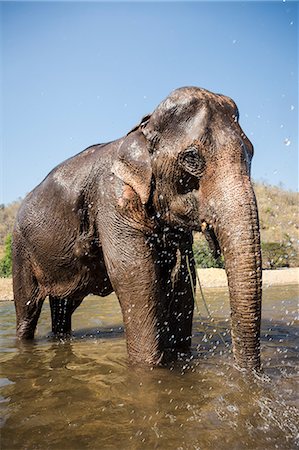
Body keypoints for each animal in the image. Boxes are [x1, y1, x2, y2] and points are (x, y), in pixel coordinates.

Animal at [12, 86, 262, 370]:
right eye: (192, 157)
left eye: (251, 152)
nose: (247, 373)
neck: (141, 128)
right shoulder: (112, 198)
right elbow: (135, 274)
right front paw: (148, 368)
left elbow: (180, 281)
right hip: (21, 249)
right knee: (27, 309)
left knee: (64, 307)